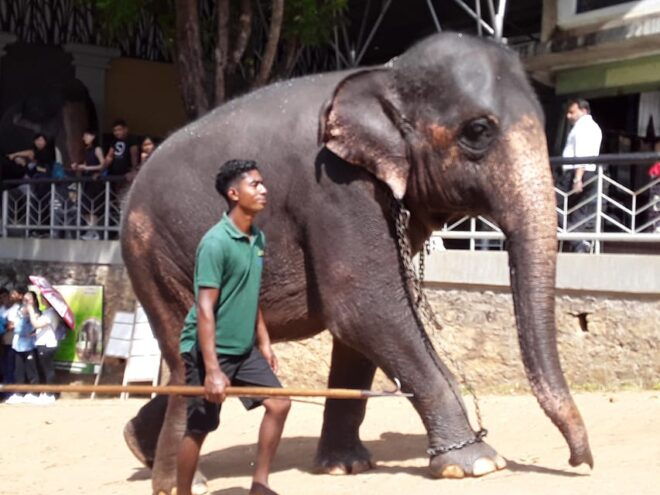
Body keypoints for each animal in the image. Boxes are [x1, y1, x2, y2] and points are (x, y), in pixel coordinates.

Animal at [121, 32, 593, 494]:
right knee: (186, 358)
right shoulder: (334, 186)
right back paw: (181, 483)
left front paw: (345, 466)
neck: (385, 74)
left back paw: (138, 445)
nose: (581, 463)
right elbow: (366, 308)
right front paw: (477, 463)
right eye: (478, 131)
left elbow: (360, 329)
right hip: (155, 255)